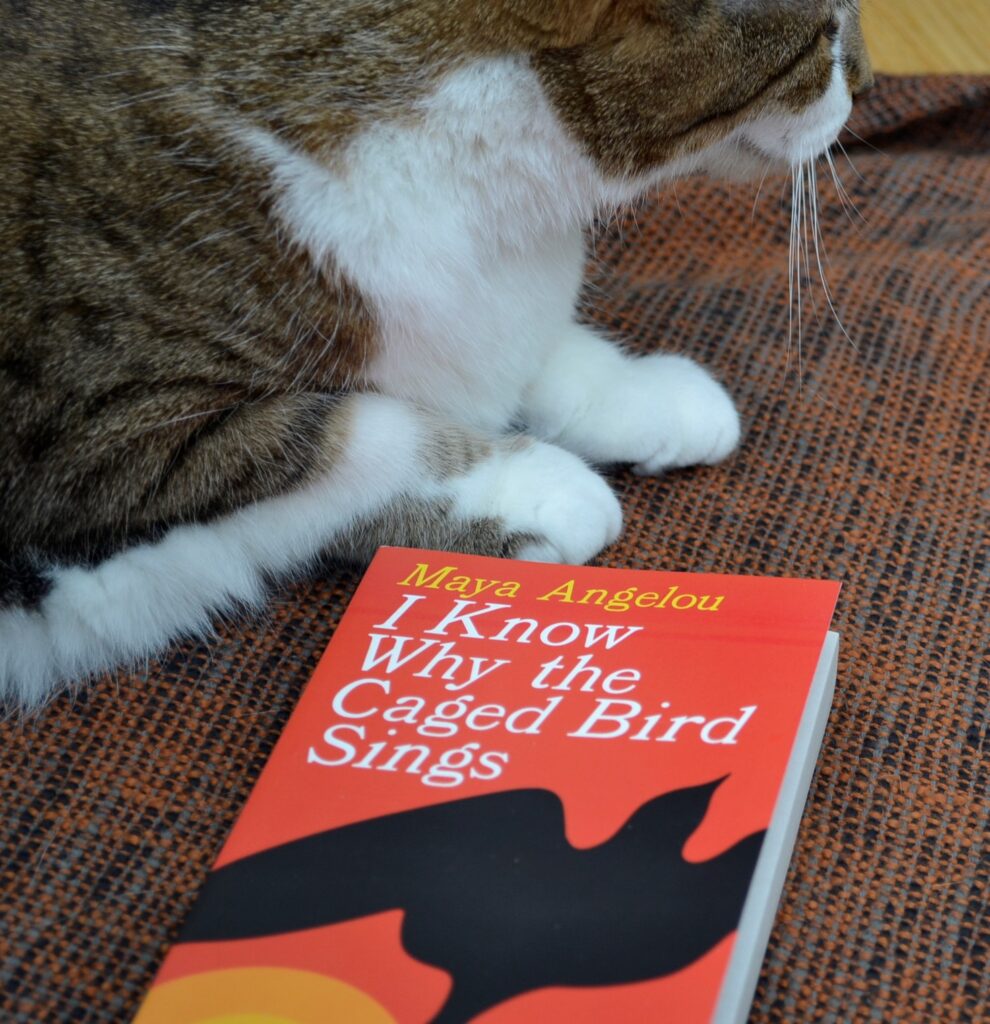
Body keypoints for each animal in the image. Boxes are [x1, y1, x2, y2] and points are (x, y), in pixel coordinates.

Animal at [0, 0, 872, 708]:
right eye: (828, 32)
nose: (866, 82)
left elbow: (521, 348)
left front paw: (640, 396)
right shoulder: (102, 445)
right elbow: (358, 435)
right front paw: (536, 491)